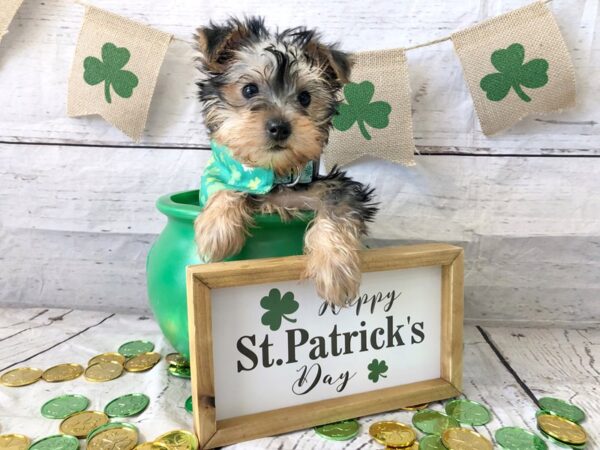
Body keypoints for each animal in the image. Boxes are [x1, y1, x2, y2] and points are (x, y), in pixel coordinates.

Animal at [195, 17, 378, 306]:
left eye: (305, 98)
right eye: (249, 90)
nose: (279, 127)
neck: (274, 173)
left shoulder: (333, 187)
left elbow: (337, 206)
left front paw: (335, 272)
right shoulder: (223, 175)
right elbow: (224, 185)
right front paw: (216, 232)